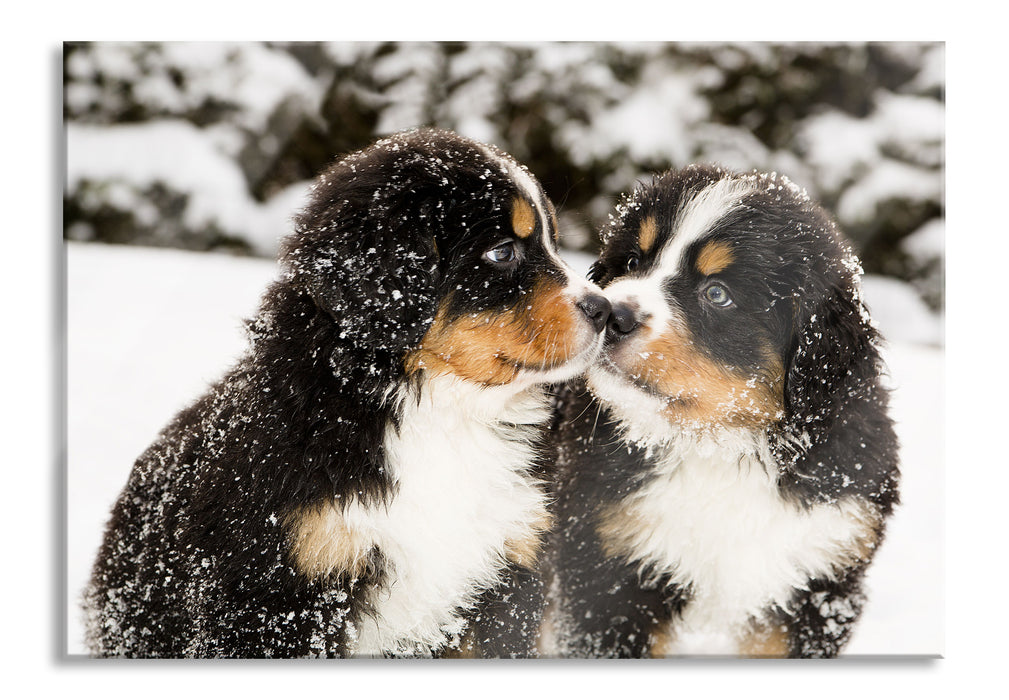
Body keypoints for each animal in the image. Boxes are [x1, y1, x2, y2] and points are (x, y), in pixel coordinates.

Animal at [82, 129, 605, 661]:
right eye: (502, 252)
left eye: (553, 241)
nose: (604, 309)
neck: (440, 413)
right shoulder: (279, 594)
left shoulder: (507, 576)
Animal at [548, 164, 904, 657]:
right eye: (634, 262)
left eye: (717, 294)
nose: (612, 313)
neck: (719, 448)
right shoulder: (609, 572)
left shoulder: (821, 580)